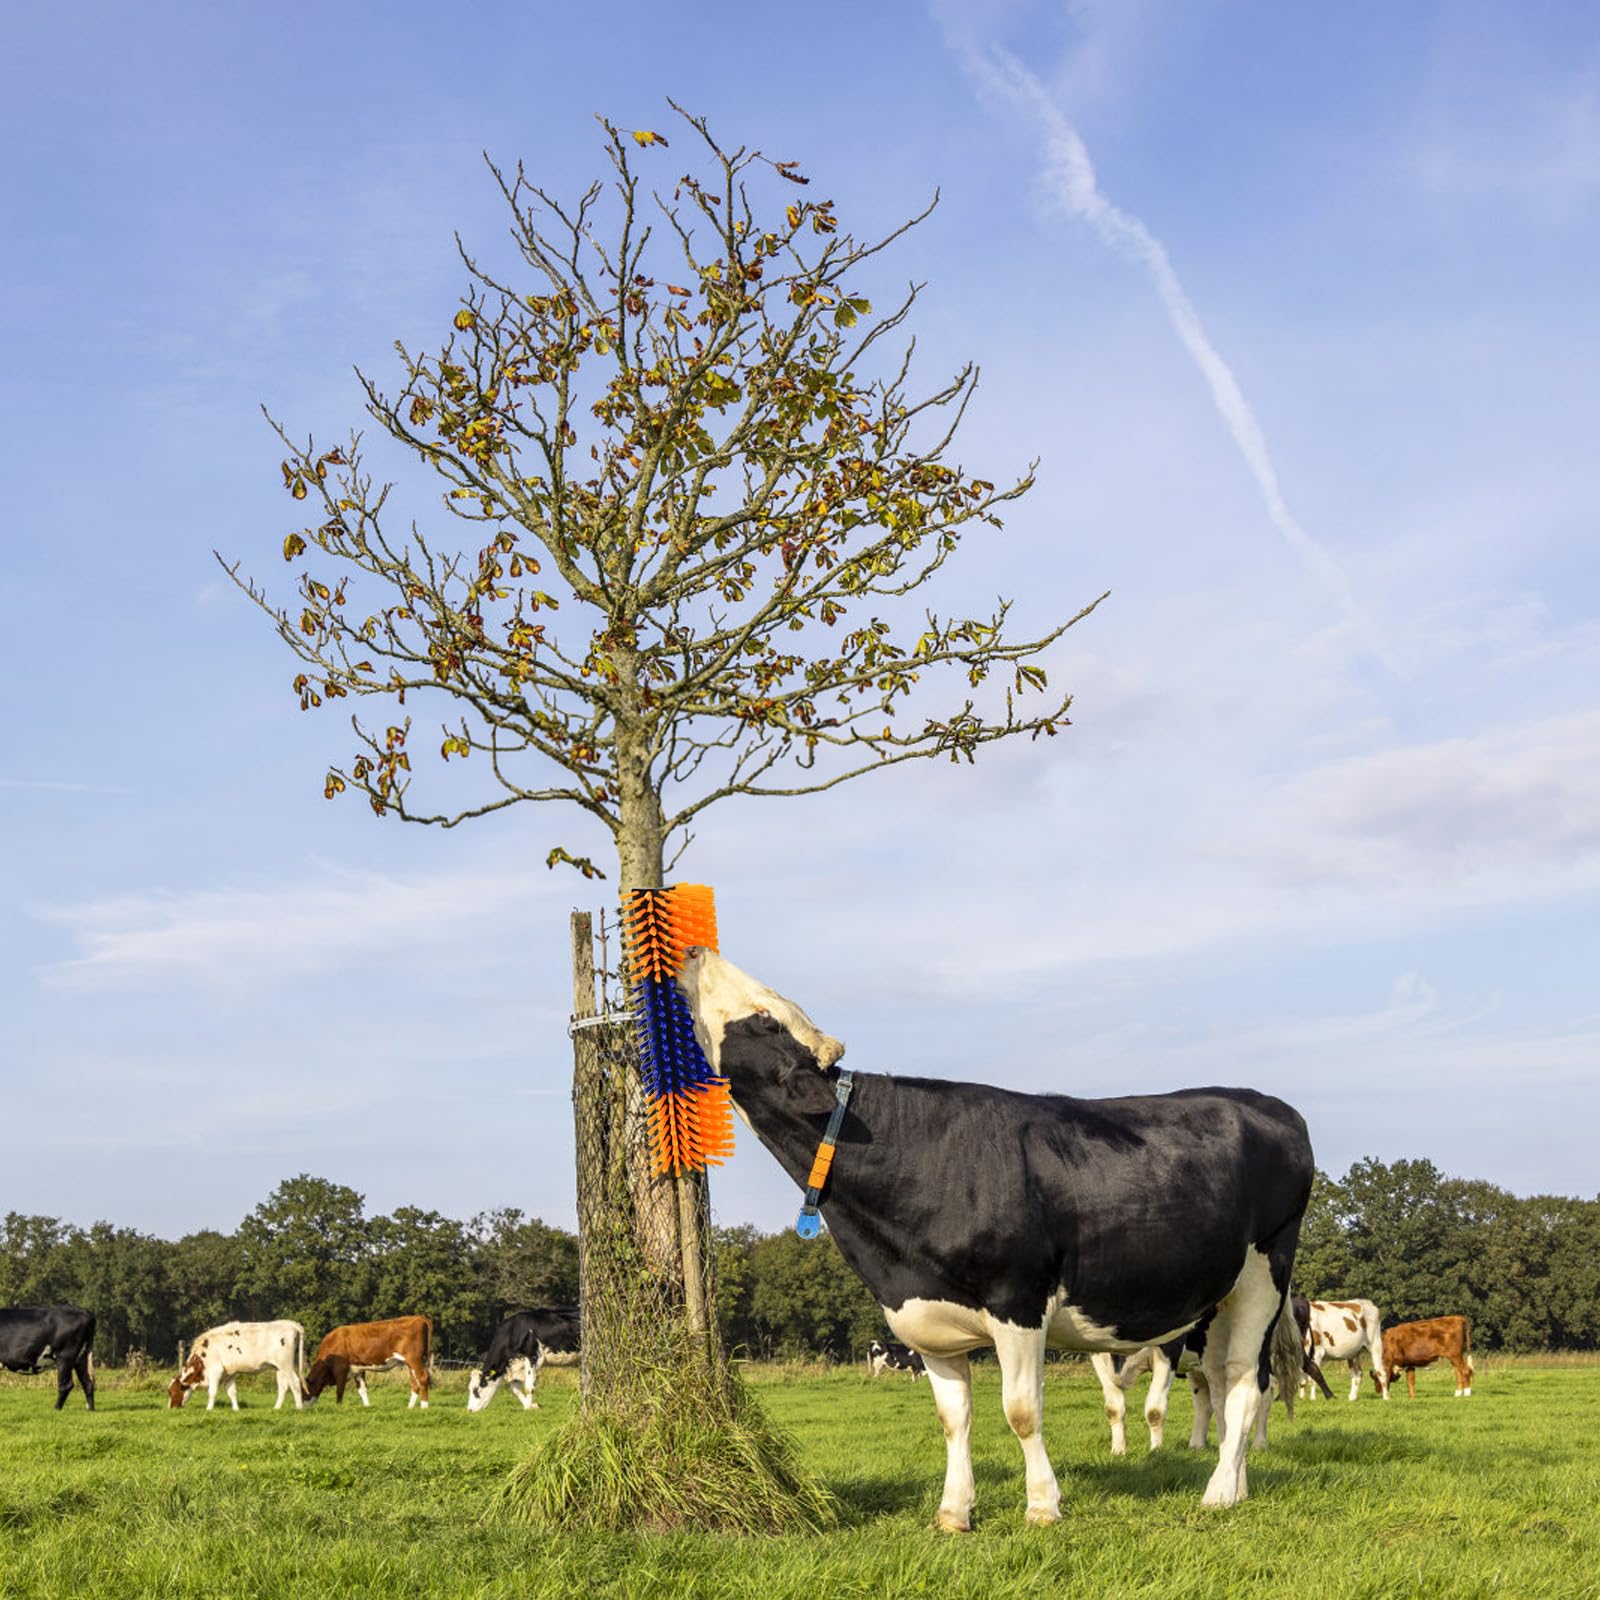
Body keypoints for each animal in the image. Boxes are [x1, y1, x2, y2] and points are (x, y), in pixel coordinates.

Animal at [168, 1319, 305, 1411]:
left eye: (172, 1392)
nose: (170, 1408)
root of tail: (290, 1323)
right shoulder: (229, 1373)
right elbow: (232, 1392)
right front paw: (236, 1409)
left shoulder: (215, 1371)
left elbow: (212, 1392)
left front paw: (209, 1409)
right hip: (279, 1368)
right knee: (283, 1386)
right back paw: (276, 1408)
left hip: (286, 1365)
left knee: (295, 1382)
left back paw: (299, 1407)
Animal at [304, 1314, 432, 1408]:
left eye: (303, 1390)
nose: (302, 1407)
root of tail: (418, 1317)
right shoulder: (358, 1369)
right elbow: (362, 1389)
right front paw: (366, 1407)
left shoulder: (340, 1370)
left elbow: (339, 1390)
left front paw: (338, 1407)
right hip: (410, 1363)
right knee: (415, 1383)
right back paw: (410, 1407)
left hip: (414, 1359)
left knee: (423, 1378)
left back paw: (424, 1406)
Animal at [676, 947, 1314, 1529]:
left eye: (764, 1017)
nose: (695, 951)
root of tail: (1269, 1104)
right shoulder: (925, 1320)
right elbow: (954, 1419)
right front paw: (954, 1512)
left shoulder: (1019, 1300)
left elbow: (1021, 1411)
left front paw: (1042, 1506)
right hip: (1216, 1296)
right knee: (1226, 1384)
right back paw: (1238, 1482)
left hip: (1265, 1272)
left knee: (1244, 1380)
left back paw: (1219, 1492)